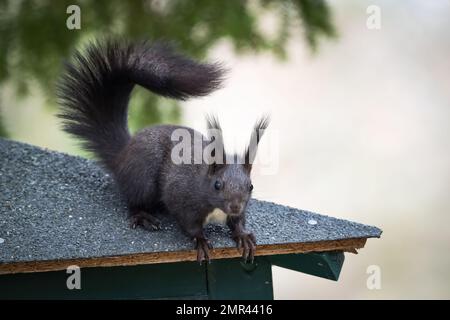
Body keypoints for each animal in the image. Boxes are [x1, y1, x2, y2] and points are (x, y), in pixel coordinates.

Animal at [55, 39, 268, 262]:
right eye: (218, 185)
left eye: (250, 186)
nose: (235, 205)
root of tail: (123, 155)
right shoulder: (183, 200)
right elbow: (190, 226)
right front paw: (201, 241)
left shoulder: (236, 212)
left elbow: (237, 222)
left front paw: (243, 235)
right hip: (143, 178)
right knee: (133, 201)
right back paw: (143, 217)